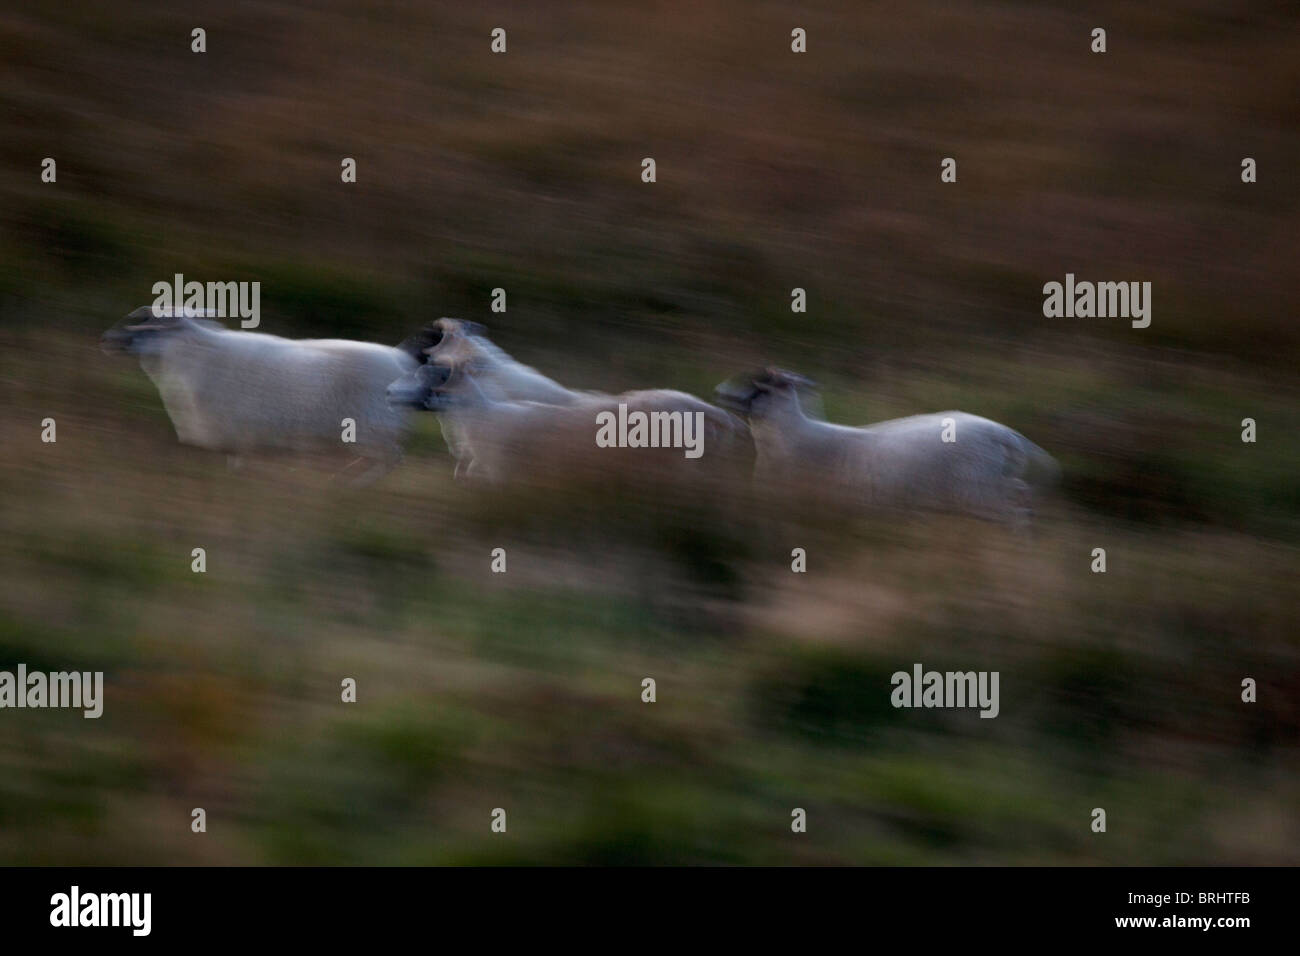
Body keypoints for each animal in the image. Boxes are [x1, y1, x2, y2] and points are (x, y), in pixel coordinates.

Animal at [102, 308, 416, 486]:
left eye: (144, 323)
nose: (106, 340)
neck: (190, 354)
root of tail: (400, 360)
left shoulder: (237, 430)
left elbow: (236, 466)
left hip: (371, 428)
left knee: (392, 459)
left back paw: (352, 486)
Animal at [717, 369, 1060, 528]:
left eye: (760, 389)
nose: (720, 393)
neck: (796, 435)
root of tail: (1006, 434)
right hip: (985, 486)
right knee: (1020, 495)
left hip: (979, 489)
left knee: (1015, 507)